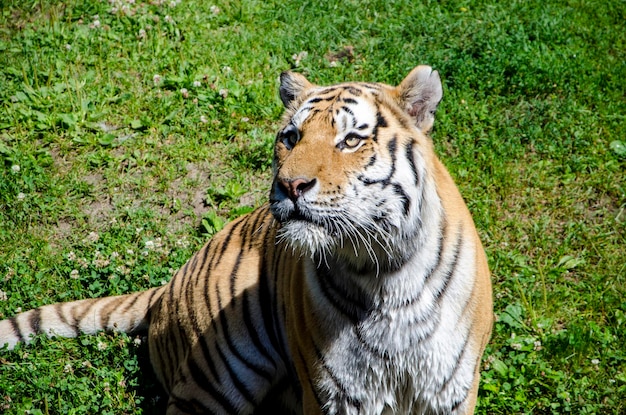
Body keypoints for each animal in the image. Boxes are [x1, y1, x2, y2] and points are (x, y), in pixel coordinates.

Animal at [3, 66, 492, 415]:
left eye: (351, 140)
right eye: (291, 137)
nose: (291, 185)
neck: (386, 273)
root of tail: (167, 286)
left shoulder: (450, 390)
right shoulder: (335, 395)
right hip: (216, 374)